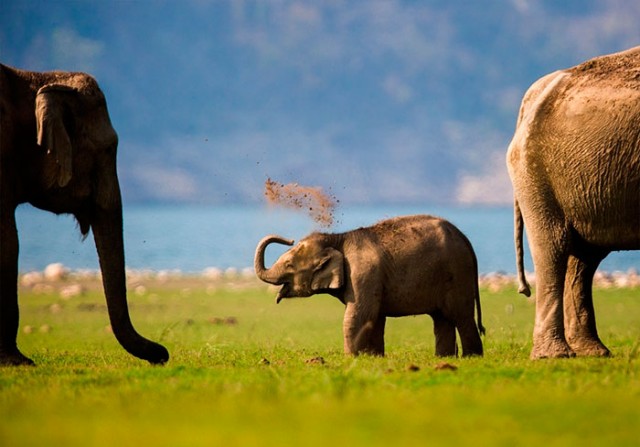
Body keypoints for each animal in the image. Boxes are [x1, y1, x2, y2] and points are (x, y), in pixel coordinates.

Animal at [255, 215, 484, 358]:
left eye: (289, 265)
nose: (289, 239)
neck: (338, 238)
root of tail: (465, 239)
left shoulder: (363, 273)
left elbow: (359, 315)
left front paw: (351, 359)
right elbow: (375, 317)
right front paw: (374, 358)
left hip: (458, 274)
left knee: (461, 316)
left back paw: (471, 358)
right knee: (442, 319)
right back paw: (445, 358)